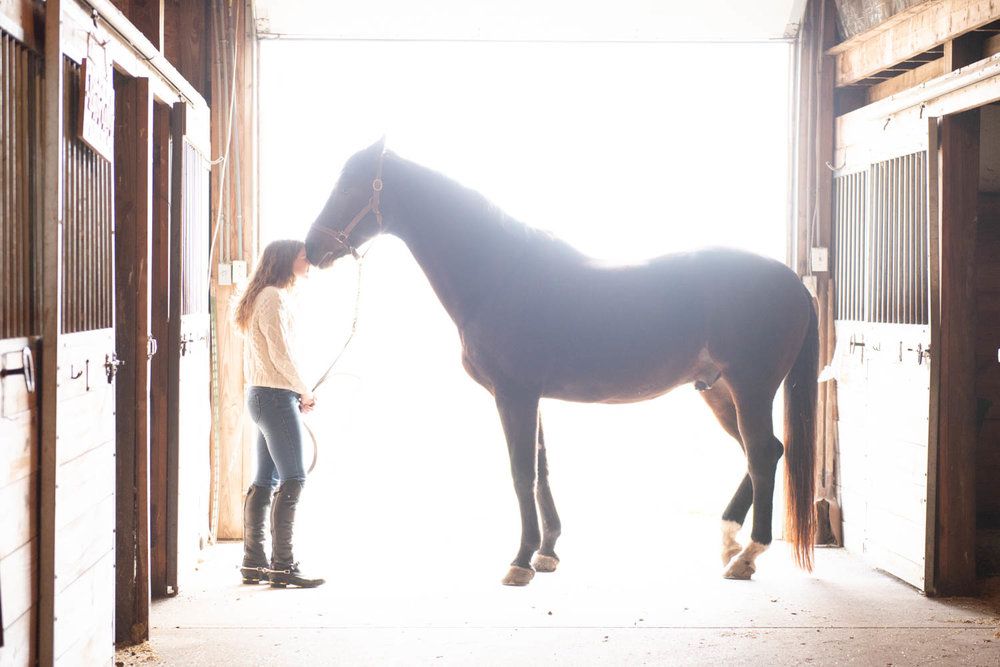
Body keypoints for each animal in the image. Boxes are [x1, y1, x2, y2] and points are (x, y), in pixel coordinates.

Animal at [304, 138, 818, 586]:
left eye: (348, 187)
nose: (312, 249)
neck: (499, 275)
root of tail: (793, 282)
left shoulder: (514, 395)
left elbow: (521, 472)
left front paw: (519, 561)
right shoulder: (528, 396)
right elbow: (542, 469)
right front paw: (547, 552)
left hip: (750, 388)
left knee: (760, 455)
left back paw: (747, 556)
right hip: (718, 390)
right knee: (766, 450)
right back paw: (730, 542)